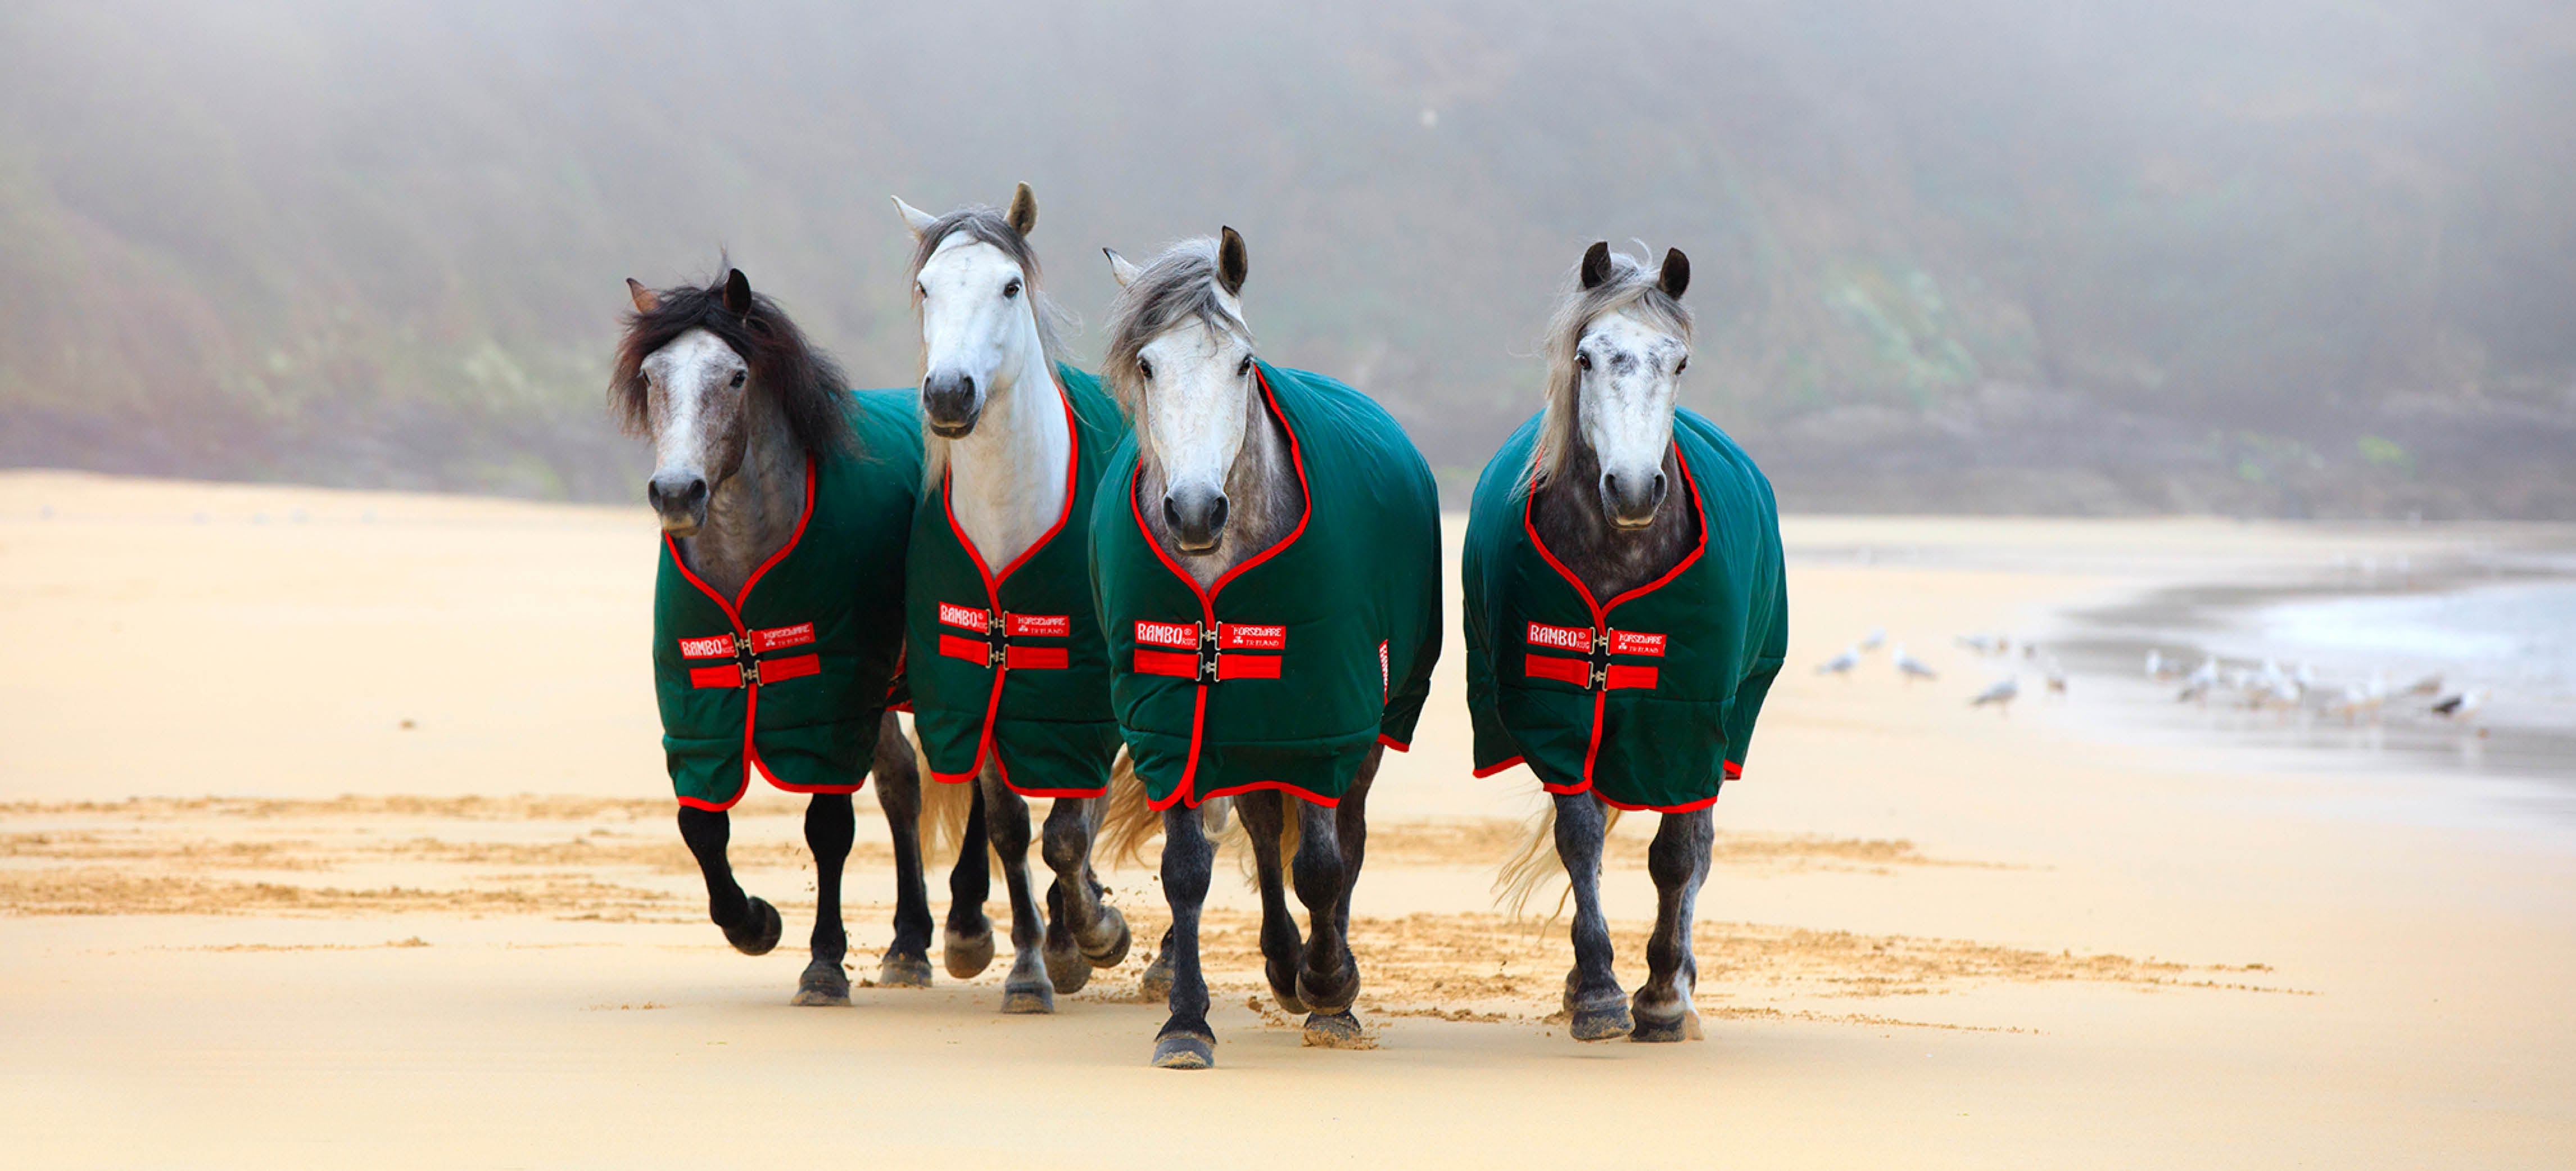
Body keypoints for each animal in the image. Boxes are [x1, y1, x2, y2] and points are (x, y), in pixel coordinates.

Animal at [610, 266, 932, 1005]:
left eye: (734, 376)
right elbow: (700, 822)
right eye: (650, 376)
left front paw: (823, 964)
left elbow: (828, 826)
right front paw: (753, 922)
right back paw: (910, 944)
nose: (678, 492)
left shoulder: (832, 703)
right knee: (903, 783)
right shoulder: (698, 705)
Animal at [892, 184, 1134, 1013]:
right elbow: (1007, 823)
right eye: (926, 287)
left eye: (1009, 287)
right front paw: (1032, 965)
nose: (947, 391)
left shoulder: (1084, 696)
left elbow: (1067, 830)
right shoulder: (985, 683)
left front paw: (1093, 933)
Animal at [1091, 229, 1444, 1068]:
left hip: (1361, 728)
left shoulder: (1323, 720)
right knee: (1257, 828)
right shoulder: (1172, 728)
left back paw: (1323, 971)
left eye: (1242, 363)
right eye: (1146, 364)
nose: (1193, 510)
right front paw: (1186, 1023)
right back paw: (1283, 961)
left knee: (1346, 840)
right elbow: (1187, 870)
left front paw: (1329, 988)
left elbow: (1320, 865)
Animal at [1467, 242, 1788, 1043]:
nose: (1636, 489)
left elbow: (1675, 856)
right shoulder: (1552, 712)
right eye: (1585, 357)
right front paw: (1597, 989)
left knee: (1698, 848)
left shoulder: (1689, 721)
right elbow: (1580, 837)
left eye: (1678, 361)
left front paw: (1663, 995)